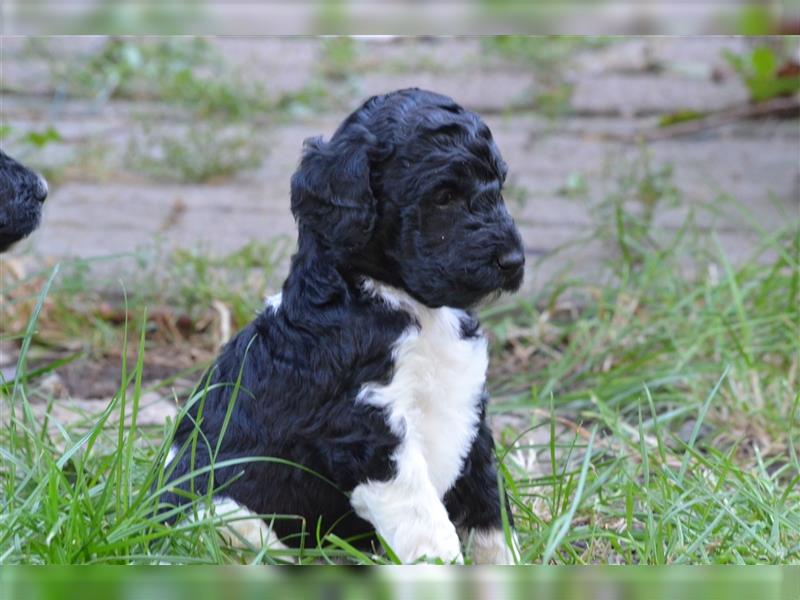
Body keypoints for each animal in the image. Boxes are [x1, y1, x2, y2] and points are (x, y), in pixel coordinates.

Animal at [162, 88, 524, 564]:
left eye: (498, 185)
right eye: (443, 196)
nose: (514, 261)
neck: (405, 304)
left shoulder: (469, 412)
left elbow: (490, 505)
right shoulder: (364, 429)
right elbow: (427, 524)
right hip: (222, 515)